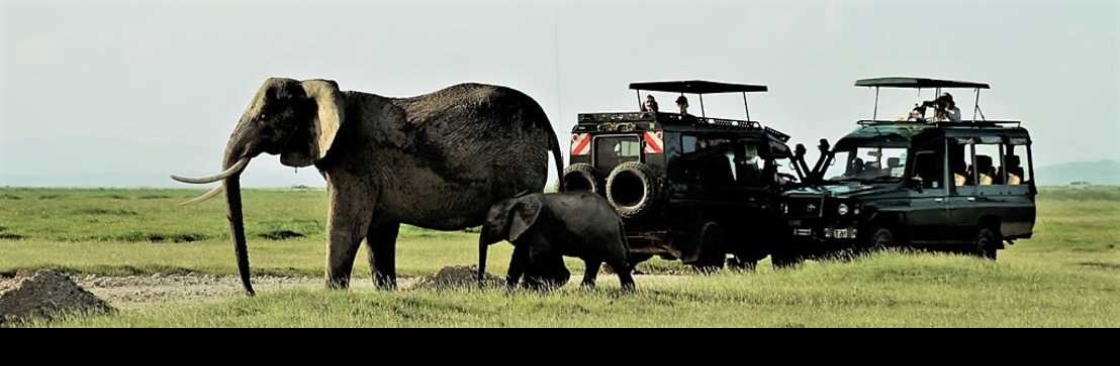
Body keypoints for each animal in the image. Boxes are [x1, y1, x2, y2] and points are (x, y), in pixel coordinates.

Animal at [173, 78, 564, 297]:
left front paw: (332, 296)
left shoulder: (356, 163)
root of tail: (545, 121)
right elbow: (379, 232)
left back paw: (532, 290)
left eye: (266, 118)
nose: (251, 293)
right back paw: (548, 288)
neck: (324, 91)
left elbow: (347, 226)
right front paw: (386, 293)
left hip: (518, 168)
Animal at [477, 192, 636, 293]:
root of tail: (617, 216)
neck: (517, 201)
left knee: (618, 262)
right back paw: (584, 292)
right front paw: (510, 292)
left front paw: (539, 287)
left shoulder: (539, 227)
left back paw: (628, 293)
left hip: (608, 236)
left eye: (492, 225)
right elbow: (519, 257)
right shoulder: (527, 231)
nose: (481, 287)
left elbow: (538, 254)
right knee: (593, 262)